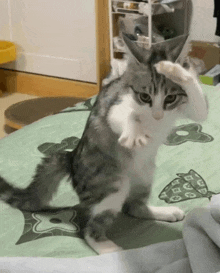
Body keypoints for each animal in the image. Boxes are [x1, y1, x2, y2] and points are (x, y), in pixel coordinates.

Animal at [0, 33, 208, 254]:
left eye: (170, 98)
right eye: (145, 96)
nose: (158, 115)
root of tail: (71, 157)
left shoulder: (189, 106)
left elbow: (200, 108)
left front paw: (176, 70)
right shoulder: (115, 105)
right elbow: (122, 116)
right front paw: (133, 132)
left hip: (144, 175)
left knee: (133, 206)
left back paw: (163, 212)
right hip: (109, 183)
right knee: (87, 226)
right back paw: (108, 249)